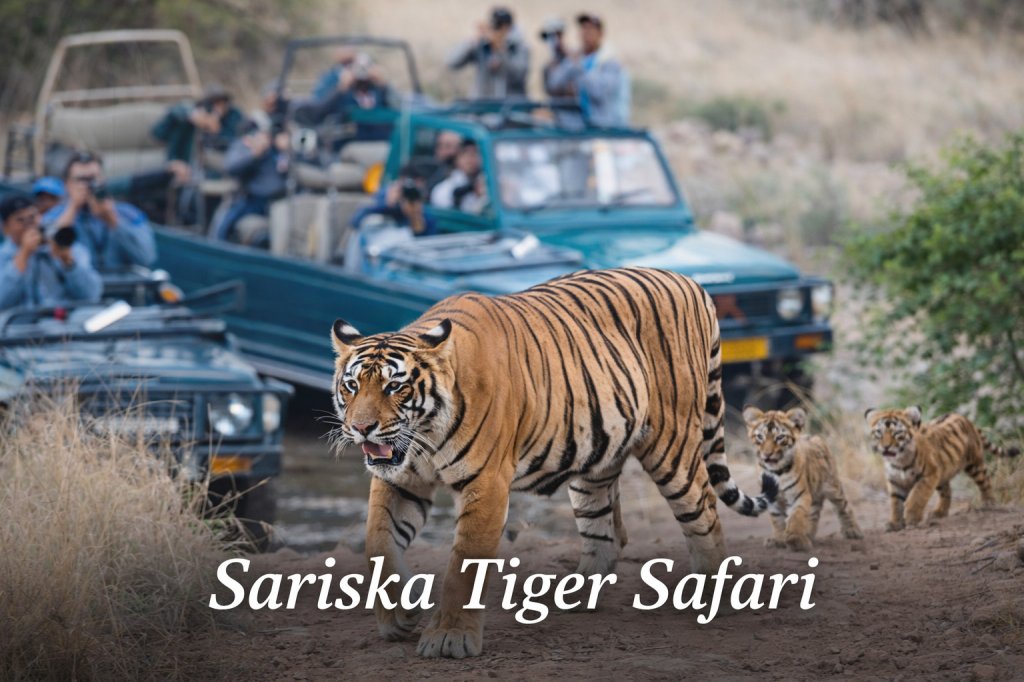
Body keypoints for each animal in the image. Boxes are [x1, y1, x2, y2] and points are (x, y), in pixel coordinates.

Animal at [329, 267, 777, 659]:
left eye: (395, 387)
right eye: (351, 385)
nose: (362, 428)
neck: (423, 438)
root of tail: (689, 281)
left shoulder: (486, 482)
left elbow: (464, 566)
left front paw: (449, 638)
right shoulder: (399, 479)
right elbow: (378, 543)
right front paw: (398, 618)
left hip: (674, 447)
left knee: (705, 514)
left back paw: (712, 595)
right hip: (595, 457)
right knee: (605, 533)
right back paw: (574, 597)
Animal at [742, 406, 862, 551]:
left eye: (780, 437)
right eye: (760, 437)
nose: (767, 454)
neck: (776, 472)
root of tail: (815, 437)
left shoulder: (799, 496)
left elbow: (796, 517)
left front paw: (796, 540)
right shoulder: (772, 499)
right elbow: (777, 520)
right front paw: (778, 539)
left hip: (833, 487)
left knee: (843, 507)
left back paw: (853, 531)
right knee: (814, 513)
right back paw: (809, 534)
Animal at [865, 407, 1020, 531]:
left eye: (897, 433)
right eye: (879, 432)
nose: (885, 447)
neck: (899, 460)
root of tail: (965, 418)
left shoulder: (929, 474)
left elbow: (917, 496)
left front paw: (912, 519)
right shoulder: (895, 481)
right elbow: (895, 503)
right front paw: (895, 523)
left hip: (974, 464)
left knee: (985, 481)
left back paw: (989, 503)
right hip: (943, 471)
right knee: (947, 491)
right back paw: (939, 513)